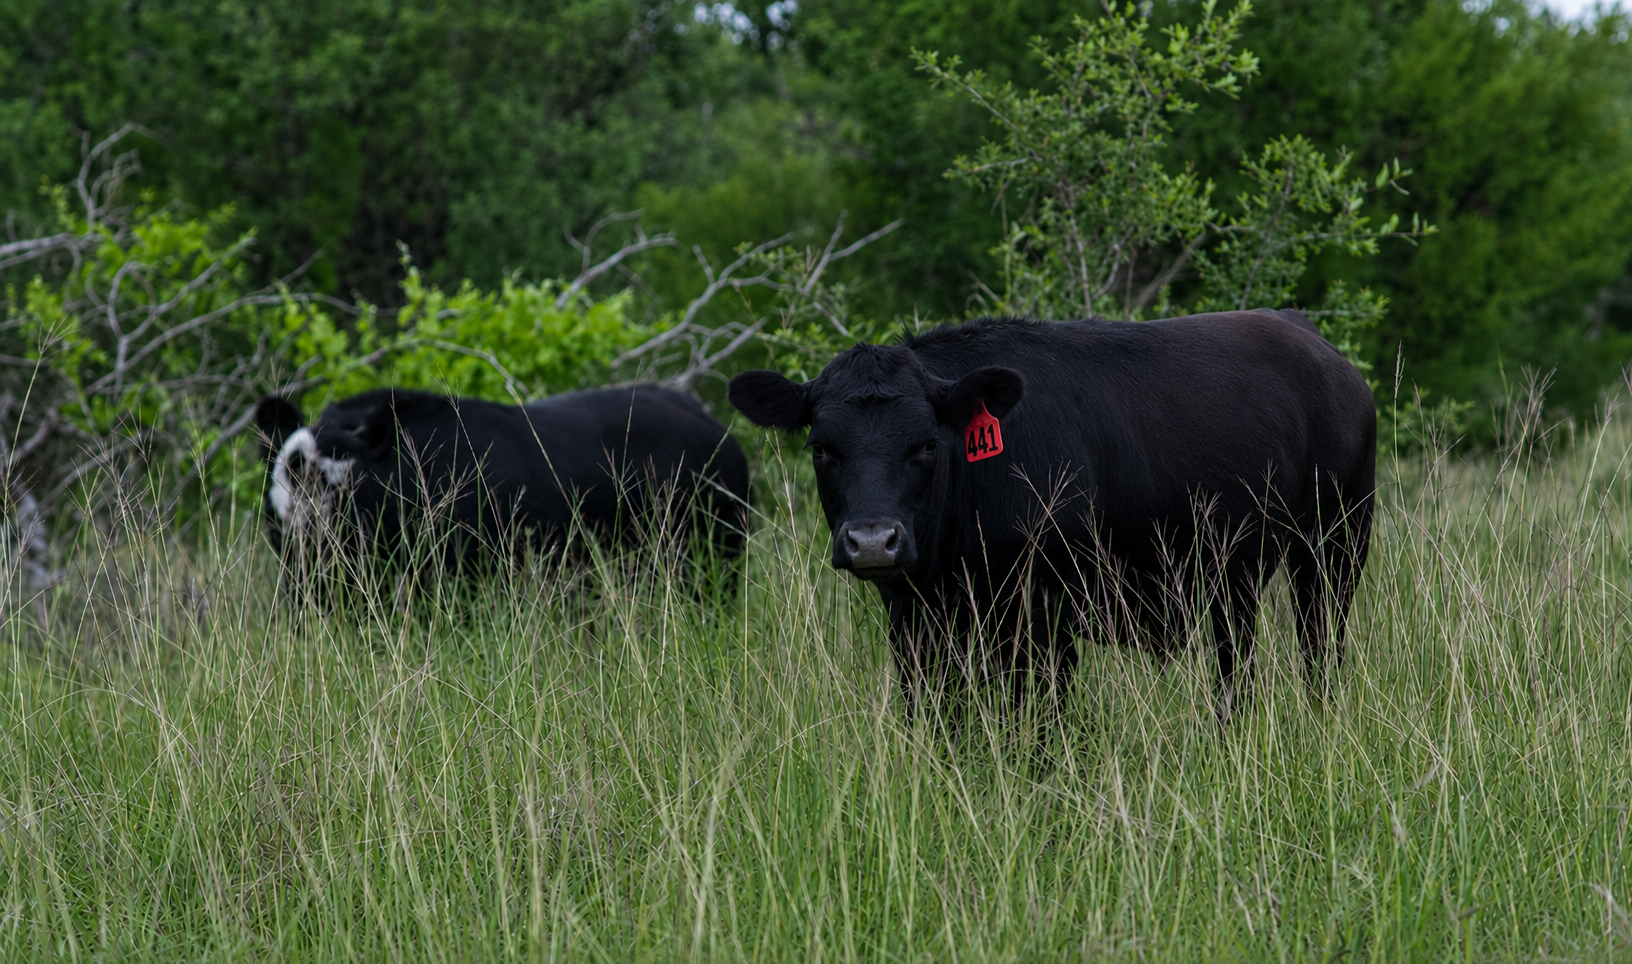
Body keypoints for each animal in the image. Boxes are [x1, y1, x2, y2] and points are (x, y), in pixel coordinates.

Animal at [728, 311, 1375, 726]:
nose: (872, 542)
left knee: (1319, 656)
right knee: (1235, 664)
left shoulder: (1044, 613)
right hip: (1232, 576)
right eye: (821, 449)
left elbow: (1036, 722)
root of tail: (1312, 340)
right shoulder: (915, 619)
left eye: (927, 445)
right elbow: (937, 718)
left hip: (1334, 550)